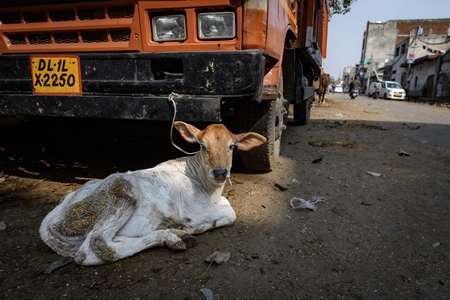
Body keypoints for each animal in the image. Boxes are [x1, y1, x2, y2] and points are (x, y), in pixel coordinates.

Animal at [39, 120, 268, 266]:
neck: (208, 189)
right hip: (121, 191)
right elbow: (230, 212)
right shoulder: (192, 211)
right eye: (203, 146)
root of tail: (50, 218)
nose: (220, 172)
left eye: (231, 146)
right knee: (96, 247)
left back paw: (174, 235)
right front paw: (201, 226)